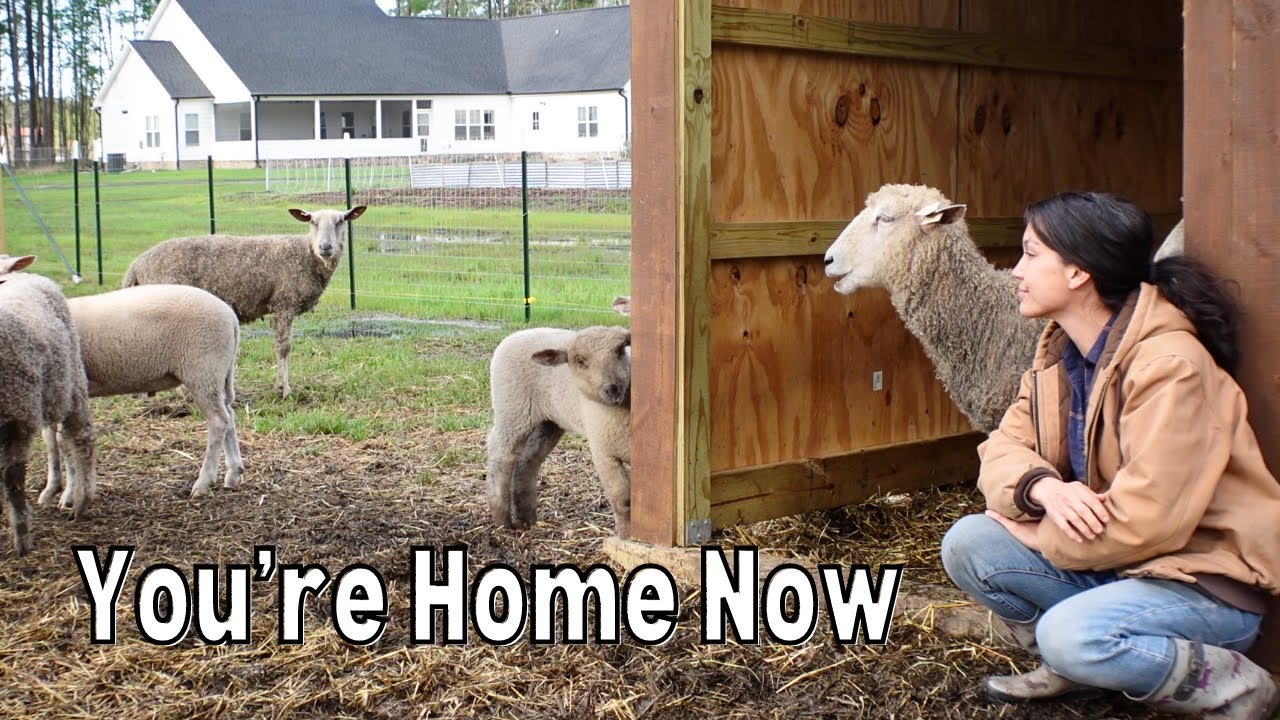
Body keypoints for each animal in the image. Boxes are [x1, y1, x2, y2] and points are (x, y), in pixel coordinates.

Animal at [0, 255, 95, 556]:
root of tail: (31, 277)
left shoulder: (17, 417)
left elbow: (13, 480)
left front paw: (22, 539)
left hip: (72, 379)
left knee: (81, 437)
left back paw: (81, 501)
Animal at [42, 285, 243, 500]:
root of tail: (230, 316)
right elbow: (50, 442)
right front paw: (51, 489)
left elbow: (63, 441)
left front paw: (69, 495)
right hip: (217, 374)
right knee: (229, 416)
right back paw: (234, 473)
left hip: (202, 369)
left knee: (218, 421)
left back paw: (204, 482)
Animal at [122, 206, 367, 398]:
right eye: (313, 222)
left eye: (340, 221)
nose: (325, 247)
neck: (305, 255)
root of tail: (137, 264)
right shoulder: (284, 303)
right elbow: (284, 347)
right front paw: (284, 389)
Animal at [486, 325, 632, 537]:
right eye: (580, 361)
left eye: (620, 351)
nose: (613, 389)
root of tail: (518, 333)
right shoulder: (603, 452)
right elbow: (622, 500)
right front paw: (626, 537)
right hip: (512, 410)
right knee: (501, 454)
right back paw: (502, 520)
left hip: (549, 422)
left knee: (528, 460)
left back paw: (526, 518)